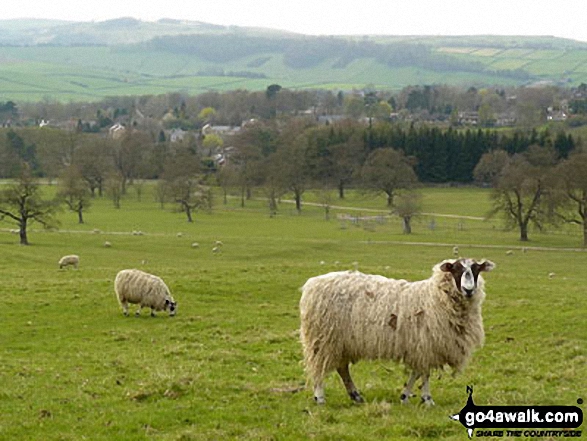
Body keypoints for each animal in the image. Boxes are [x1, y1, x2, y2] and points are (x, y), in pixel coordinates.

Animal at [298, 256, 496, 404]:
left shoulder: (420, 346)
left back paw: (356, 396)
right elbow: (424, 373)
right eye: (456, 269)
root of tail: (312, 284)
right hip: (323, 338)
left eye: (476, 269)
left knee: (342, 368)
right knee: (319, 367)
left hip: (341, 341)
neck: (434, 298)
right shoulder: (426, 344)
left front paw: (405, 396)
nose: (469, 290)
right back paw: (320, 397)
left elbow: (417, 372)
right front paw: (427, 399)